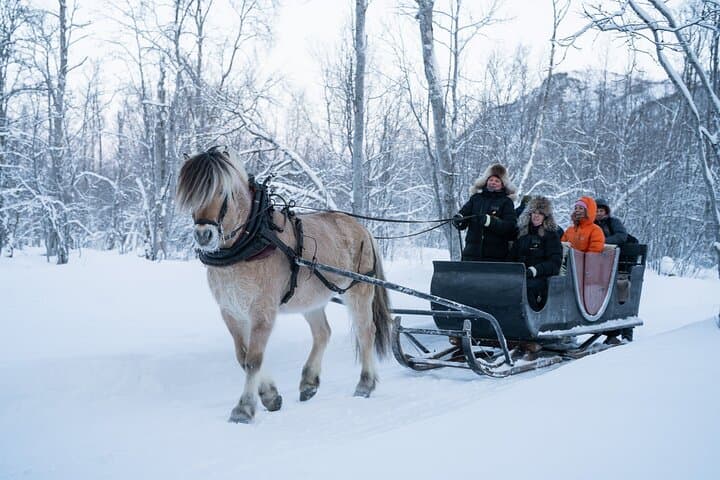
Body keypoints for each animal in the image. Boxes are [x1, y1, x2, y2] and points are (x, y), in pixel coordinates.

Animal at [176, 146, 393, 423]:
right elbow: (243, 355)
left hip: (359, 290)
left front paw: (244, 408)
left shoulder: (263, 311)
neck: (251, 240)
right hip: (312, 300)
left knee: (366, 331)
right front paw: (270, 395)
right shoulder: (231, 311)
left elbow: (254, 359)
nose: (204, 235)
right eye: (190, 195)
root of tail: (361, 227)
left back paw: (365, 384)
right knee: (322, 333)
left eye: (223, 191)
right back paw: (309, 383)